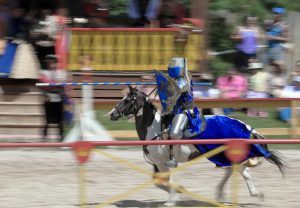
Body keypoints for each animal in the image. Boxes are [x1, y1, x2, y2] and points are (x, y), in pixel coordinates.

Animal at [109, 86, 288, 206]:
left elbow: (166, 181)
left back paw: (254, 193)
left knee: (244, 172)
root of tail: (245, 126)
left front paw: (172, 200)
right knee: (232, 170)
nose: (112, 113)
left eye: (127, 100)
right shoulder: (157, 164)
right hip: (221, 155)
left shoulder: (162, 163)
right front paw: (179, 193)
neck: (154, 127)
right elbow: (158, 182)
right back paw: (220, 195)